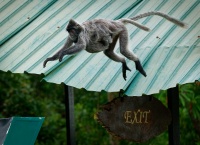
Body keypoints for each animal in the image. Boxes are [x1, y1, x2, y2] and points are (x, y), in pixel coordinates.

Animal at [43, 11, 186, 80]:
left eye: (71, 30)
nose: (72, 34)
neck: (79, 30)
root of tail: (116, 22)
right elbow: (65, 47)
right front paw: (50, 59)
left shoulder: (82, 33)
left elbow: (81, 46)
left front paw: (62, 54)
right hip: (116, 33)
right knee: (109, 51)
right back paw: (123, 62)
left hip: (122, 30)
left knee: (121, 50)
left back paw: (136, 62)